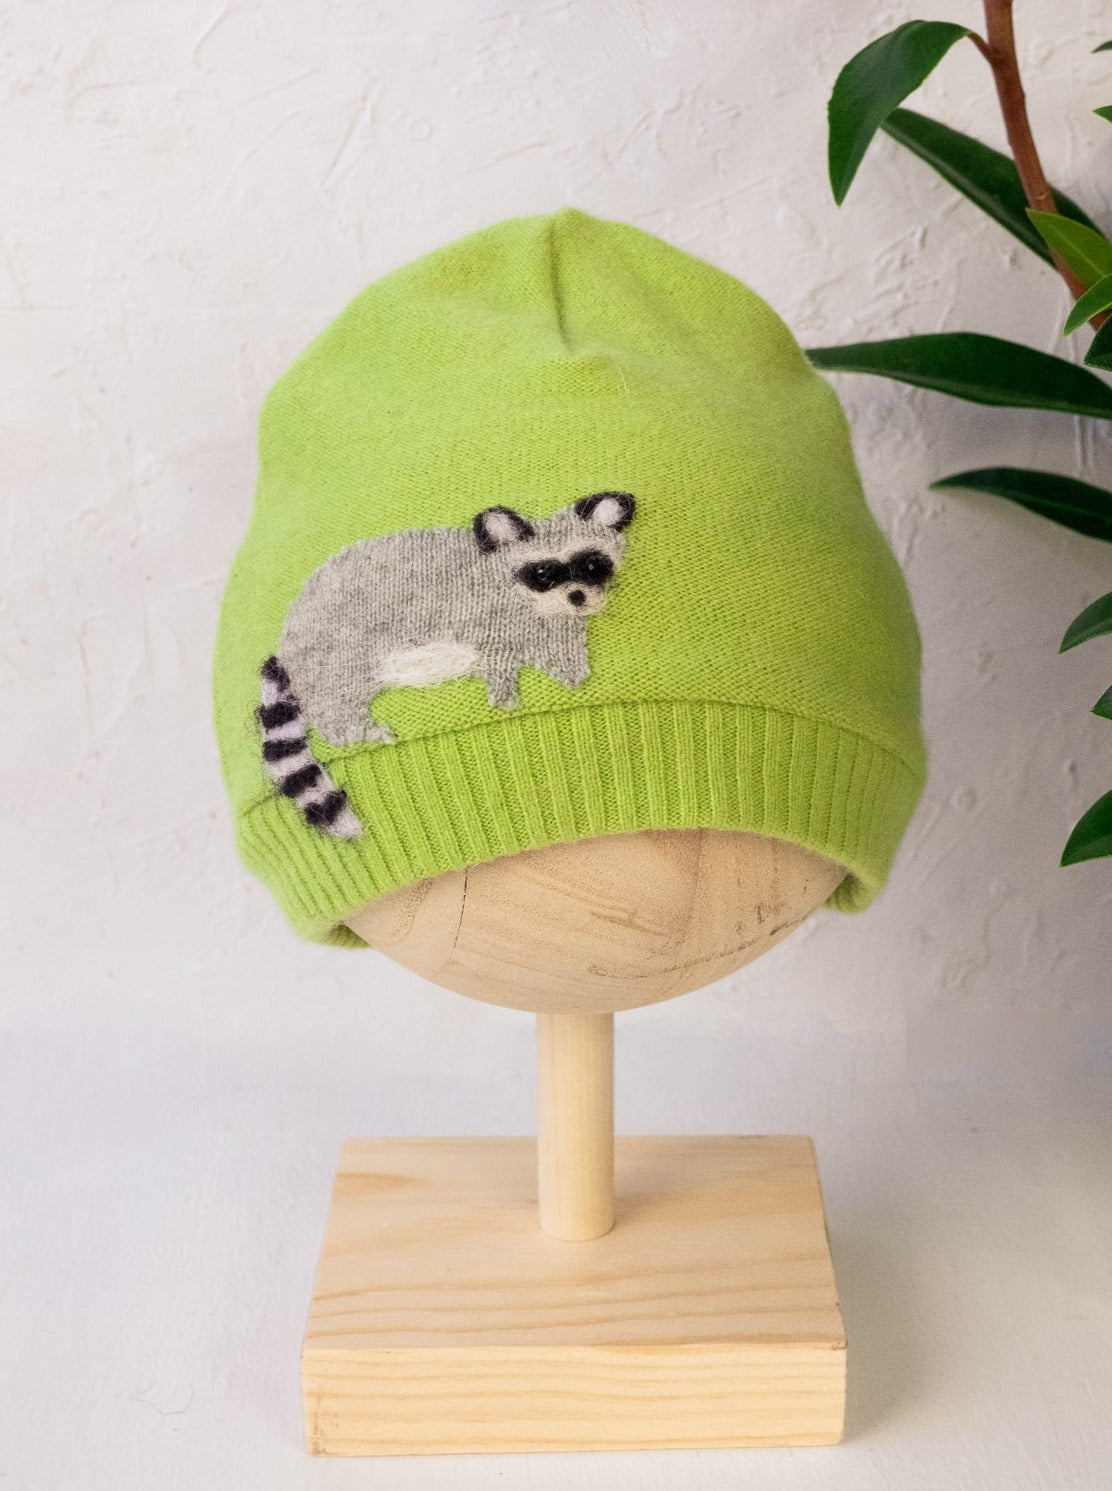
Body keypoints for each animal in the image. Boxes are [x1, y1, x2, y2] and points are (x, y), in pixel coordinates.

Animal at [258, 490, 635, 838]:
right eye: (542, 572)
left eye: (592, 565)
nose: (578, 596)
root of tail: (289, 636)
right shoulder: (491, 625)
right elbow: (500, 667)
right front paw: (507, 698)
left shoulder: (546, 627)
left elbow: (558, 652)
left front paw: (572, 676)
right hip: (338, 651)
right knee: (337, 702)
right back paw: (354, 731)